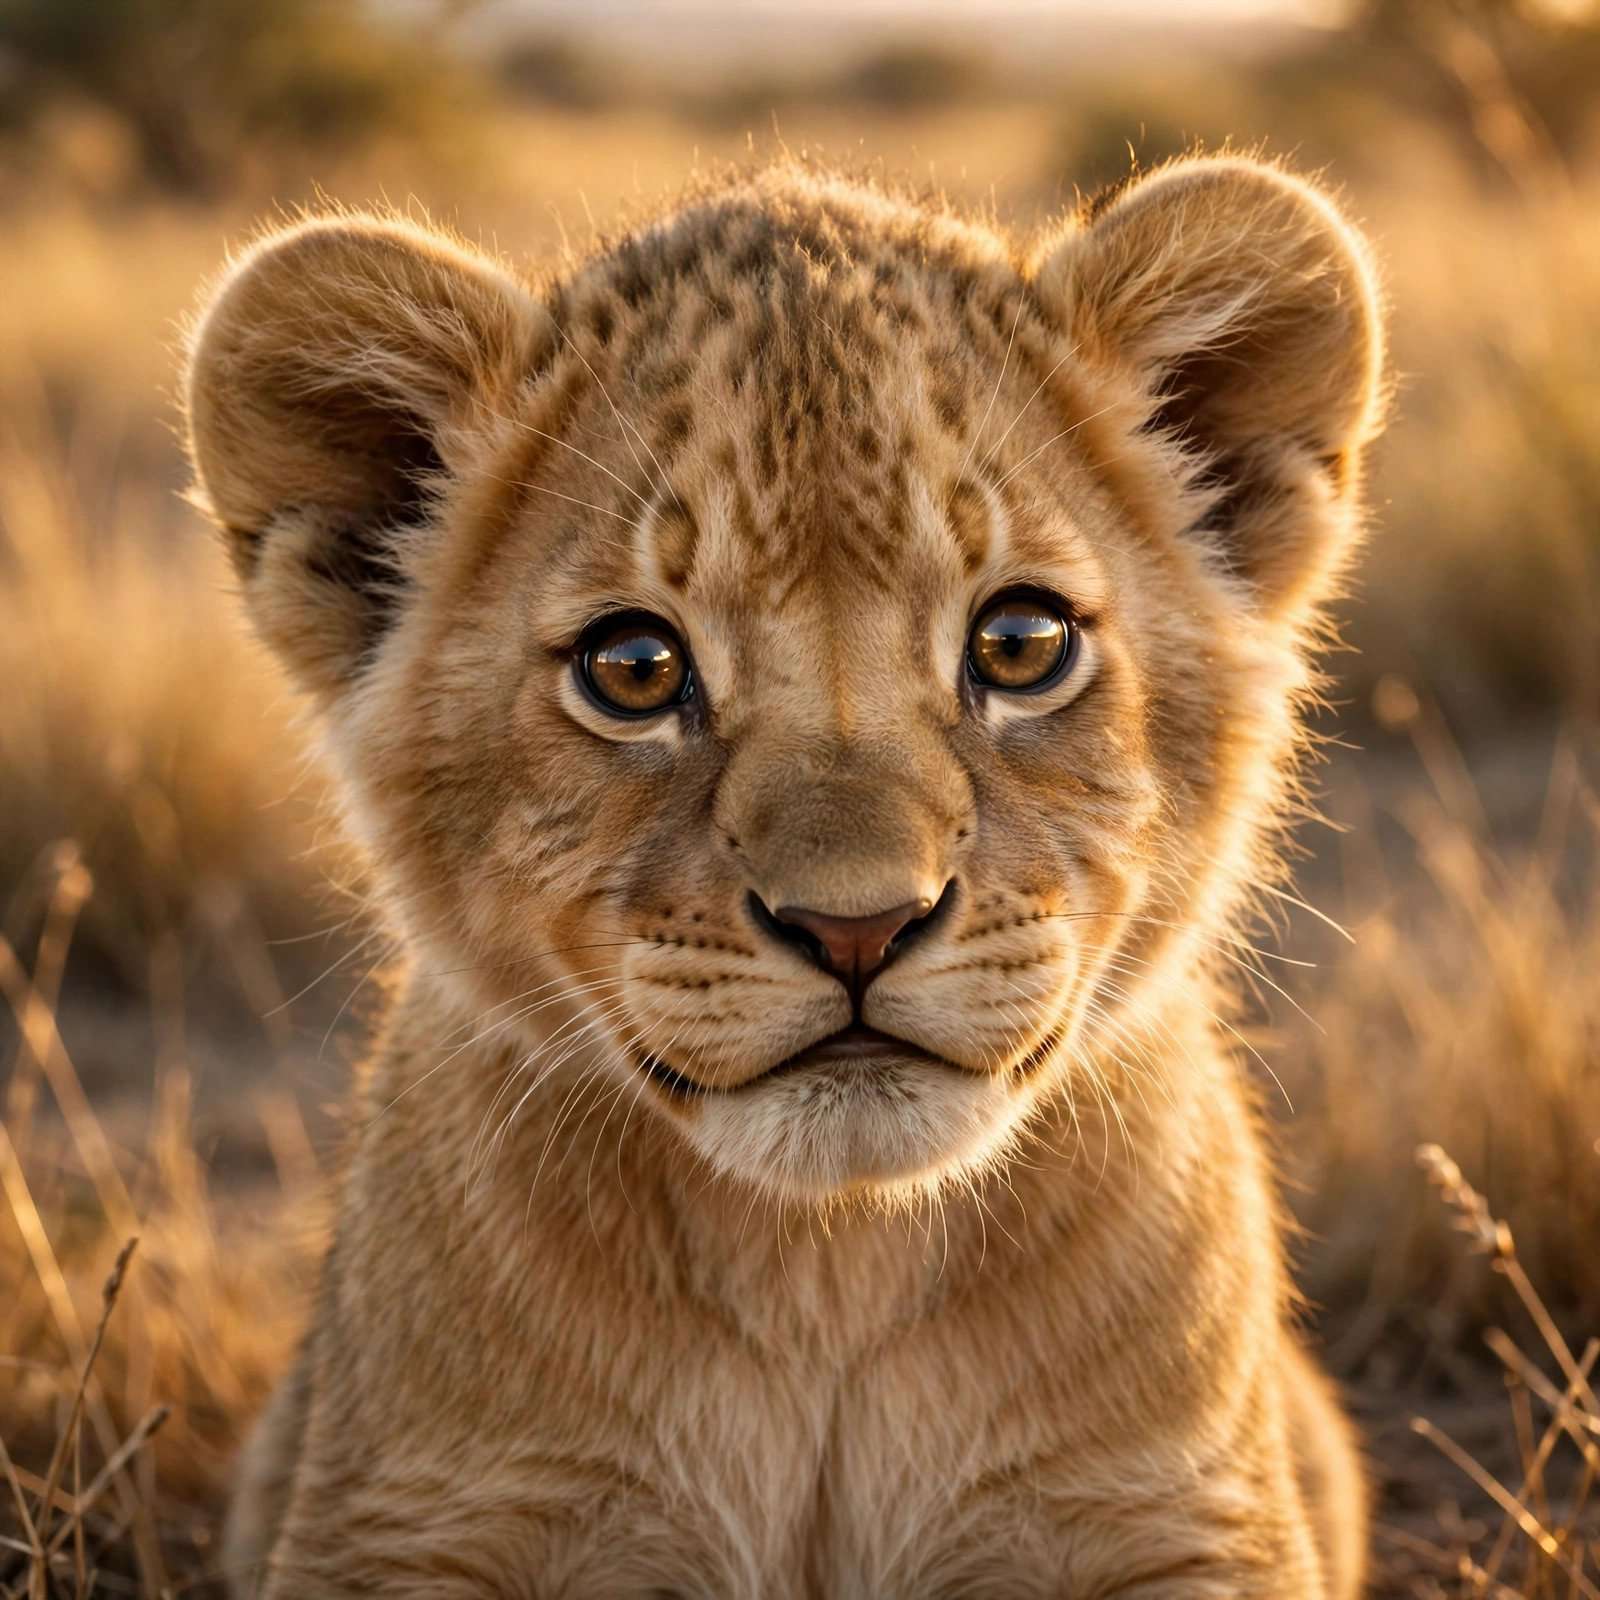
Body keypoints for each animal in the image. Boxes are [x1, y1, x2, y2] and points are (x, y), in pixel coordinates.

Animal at [184, 153, 1385, 1597]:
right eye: (633, 669)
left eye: (1021, 643)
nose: (856, 927)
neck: (829, 1269)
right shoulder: (413, 1520)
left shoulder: (1180, 1515)